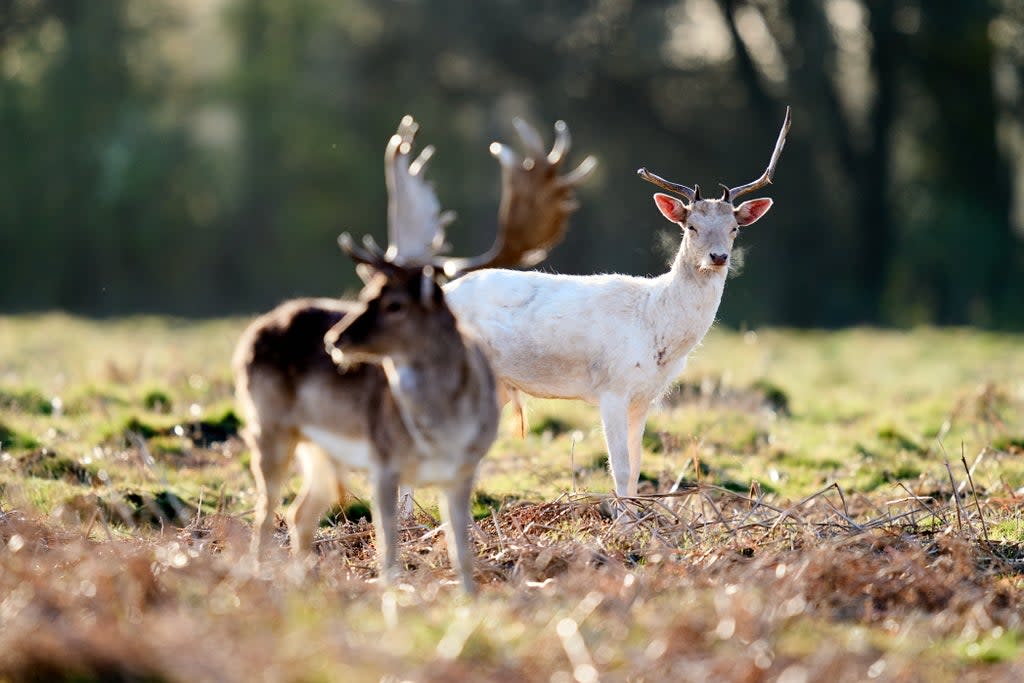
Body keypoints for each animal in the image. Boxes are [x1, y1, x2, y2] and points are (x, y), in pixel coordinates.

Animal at [234, 117, 598, 593]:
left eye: (396, 304)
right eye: (368, 293)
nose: (335, 340)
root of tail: (261, 325)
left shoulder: (463, 469)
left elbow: (461, 549)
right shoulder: (384, 464)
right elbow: (389, 541)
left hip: (320, 451)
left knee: (300, 513)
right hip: (268, 426)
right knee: (266, 512)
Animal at [442, 108, 790, 501]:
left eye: (734, 228)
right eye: (691, 227)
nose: (718, 257)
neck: (656, 328)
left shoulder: (645, 398)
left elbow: (637, 469)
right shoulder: (611, 387)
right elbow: (620, 471)